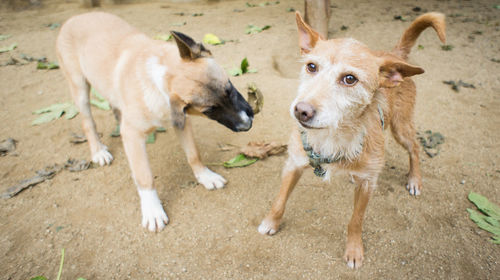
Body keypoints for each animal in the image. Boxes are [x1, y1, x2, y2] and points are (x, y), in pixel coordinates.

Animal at [56, 12, 254, 232]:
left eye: (228, 88)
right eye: (210, 111)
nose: (247, 124)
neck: (161, 77)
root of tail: (76, 17)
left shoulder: (182, 122)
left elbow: (194, 154)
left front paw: (205, 176)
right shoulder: (133, 135)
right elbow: (144, 177)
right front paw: (152, 209)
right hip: (79, 89)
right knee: (88, 123)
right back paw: (98, 151)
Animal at [258, 12, 446, 270]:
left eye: (350, 79)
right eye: (311, 66)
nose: (301, 111)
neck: (332, 135)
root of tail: (395, 55)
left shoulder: (367, 182)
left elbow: (356, 220)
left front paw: (354, 250)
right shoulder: (294, 163)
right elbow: (279, 199)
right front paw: (271, 222)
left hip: (401, 127)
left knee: (415, 147)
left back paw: (414, 179)